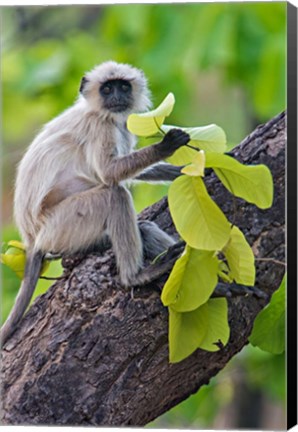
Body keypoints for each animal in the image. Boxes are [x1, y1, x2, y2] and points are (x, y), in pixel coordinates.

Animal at [0, 60, 190, 346]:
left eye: (123, 86)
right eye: (107, 88)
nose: (117, 96)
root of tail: (31, 239)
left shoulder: (120, 126)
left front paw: (193, 169)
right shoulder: (100, 126)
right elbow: (109, 174)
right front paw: (166, 146)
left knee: (143, 227)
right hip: (63, 225)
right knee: (115, 195)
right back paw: (135, 277)